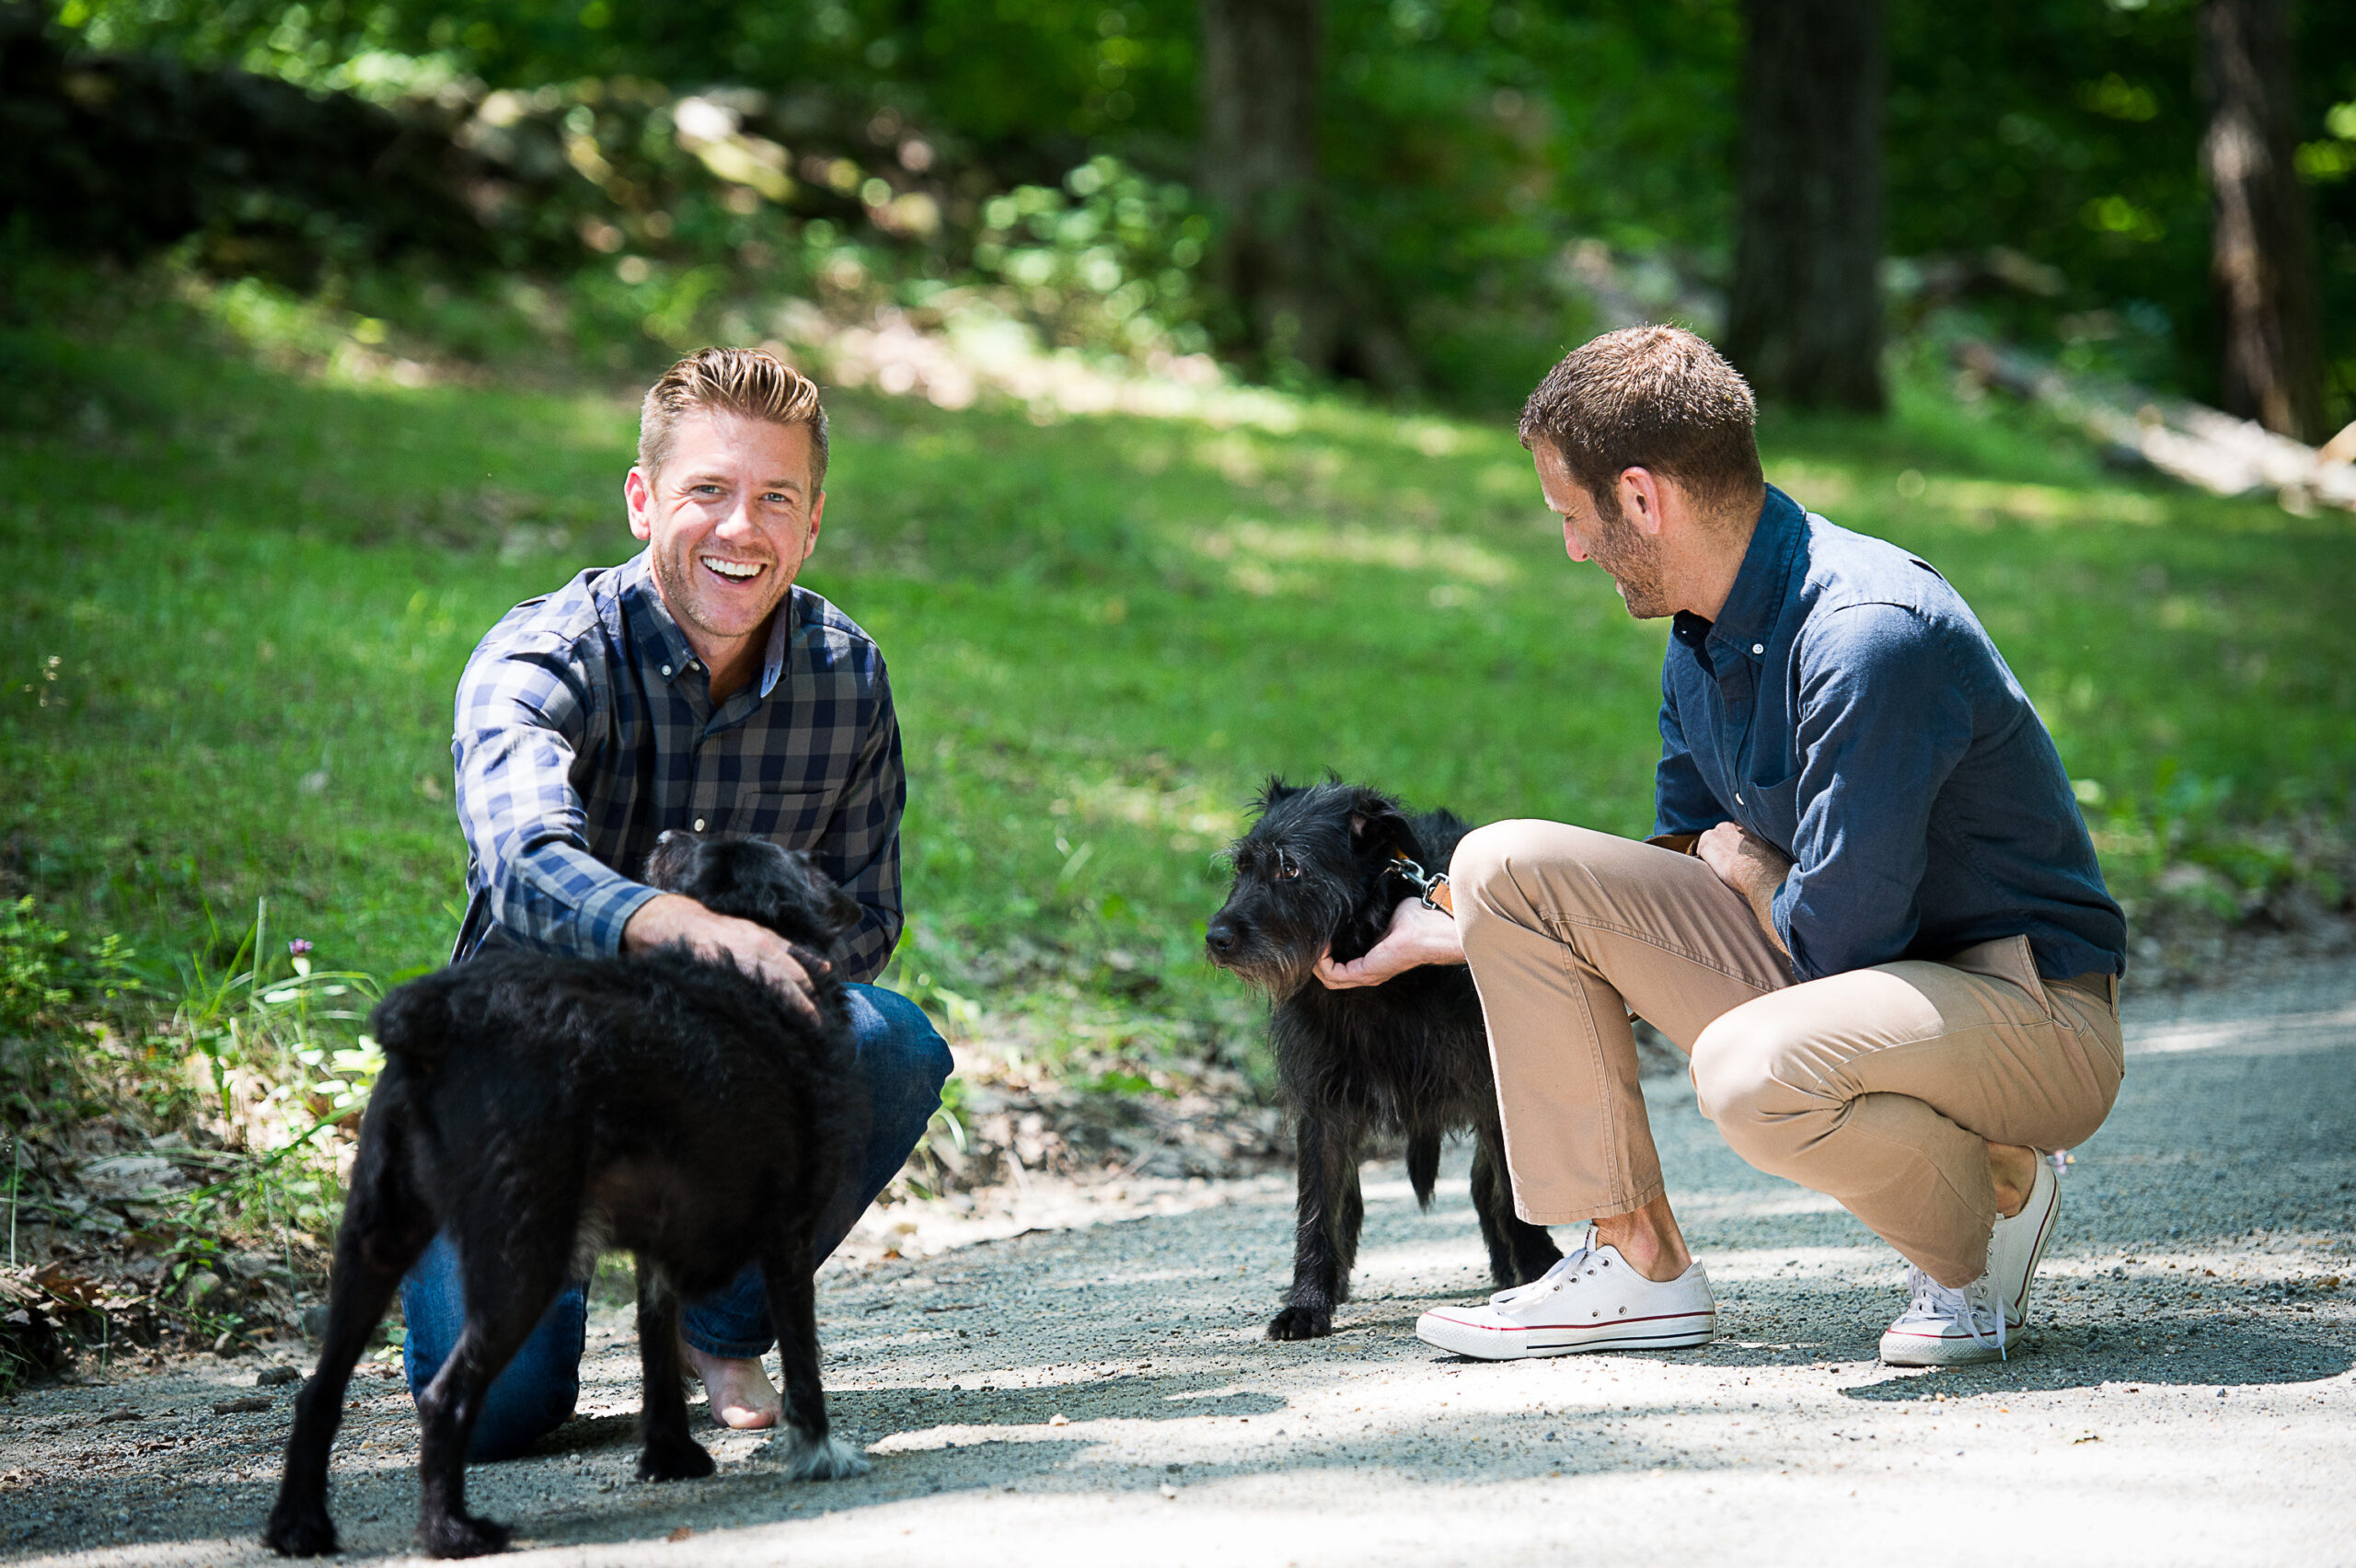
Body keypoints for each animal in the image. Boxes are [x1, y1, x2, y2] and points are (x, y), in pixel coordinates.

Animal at [270, 828, 876, 1553]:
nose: (668, 834)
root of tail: (435, 1019)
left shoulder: (658, 1253)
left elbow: (656, 1357)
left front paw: (670, 1457)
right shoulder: (788, 1233)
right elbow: (803, 1359)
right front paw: (820, 1454)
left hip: (374, 1239)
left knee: (318, 1391)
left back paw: (298, 1526)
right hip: (525, 1259)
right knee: (446, 1396)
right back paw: (452, 1531)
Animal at [1206, 777, 1554, 1337]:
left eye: (1290, 869)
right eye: (1242, 868)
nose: (1215, 938)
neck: (1379, 988)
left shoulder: (1493, 1092)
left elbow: (1514, 1195)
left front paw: (1542, 1271)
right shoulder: (1321, 1109)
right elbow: (1318, 1209)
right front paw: (1308, 1302)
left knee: (1486, 1187)